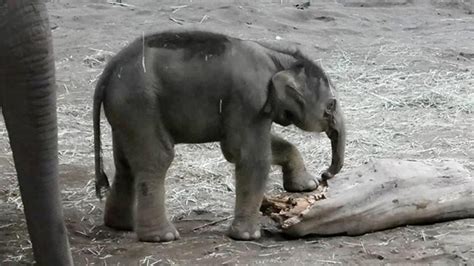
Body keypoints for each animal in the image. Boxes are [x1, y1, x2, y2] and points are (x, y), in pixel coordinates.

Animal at [93, 30, 344, 242]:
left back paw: (121, 225)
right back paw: (163, 237)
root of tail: (111, 68)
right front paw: (247, 237)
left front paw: (306, 186)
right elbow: (250, 156)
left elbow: (256, 147)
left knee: (125, 164)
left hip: (126, 112)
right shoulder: (249, 99)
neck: (278, 59)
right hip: (141, 104)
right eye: (331, 105)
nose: (325, 175)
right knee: (157, 160)